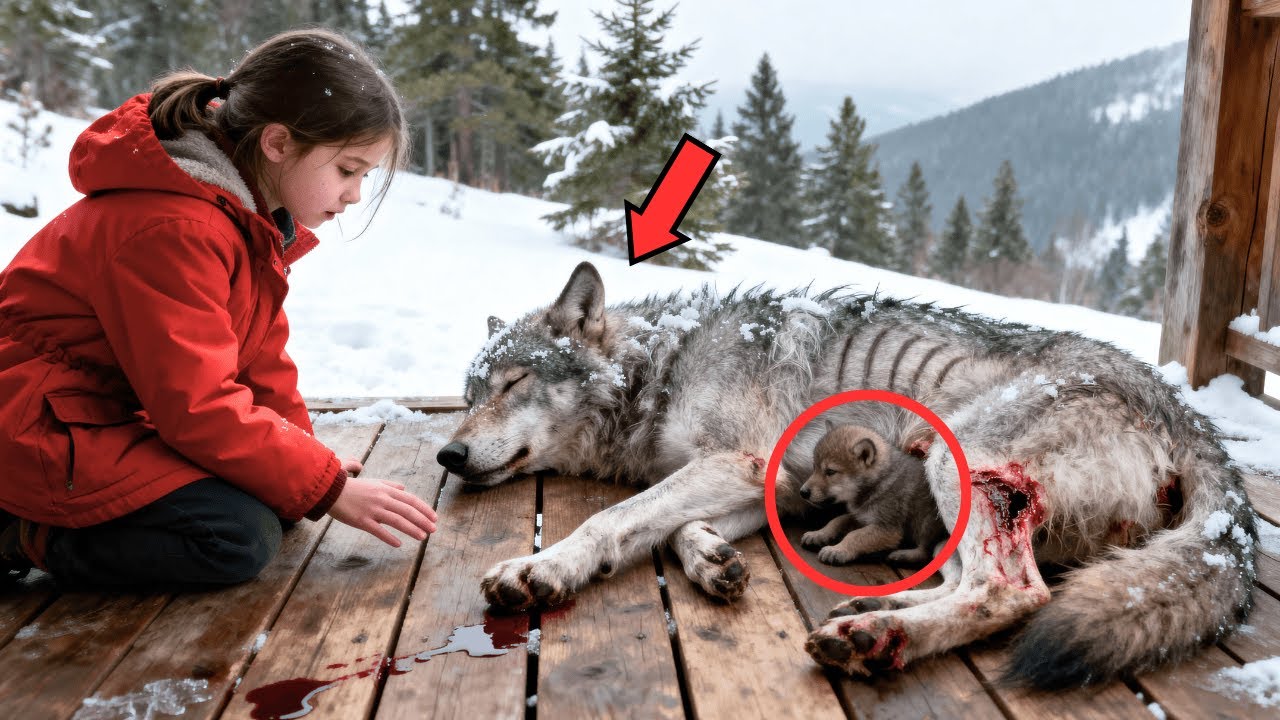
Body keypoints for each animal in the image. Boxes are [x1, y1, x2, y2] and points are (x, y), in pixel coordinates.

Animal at [800, 424, 946, 566]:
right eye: (814, 467)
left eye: (830, 472)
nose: (802, 492)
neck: (880, 481)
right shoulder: (861, 517)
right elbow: (837, 520)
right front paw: (819, 534)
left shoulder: (887, 528)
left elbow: (854, 536)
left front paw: (837, 550)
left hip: (925, 522)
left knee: (925, 552)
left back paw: (902, 555)